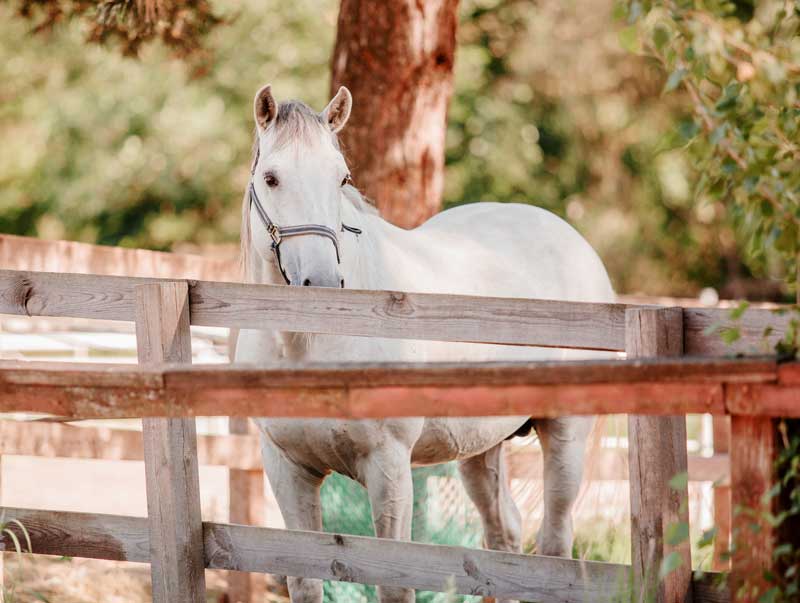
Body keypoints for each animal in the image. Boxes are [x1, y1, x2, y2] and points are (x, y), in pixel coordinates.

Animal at [235, 84, 616, 603]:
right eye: (271, 178)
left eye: (341, 178)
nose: (323, 283)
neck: (307, 343)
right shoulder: (287, 468)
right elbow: (306, 584)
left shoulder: (389, 468)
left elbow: (395, 587)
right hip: (480, 449)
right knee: (503, 537)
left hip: (566, 434)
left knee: (554, 546)